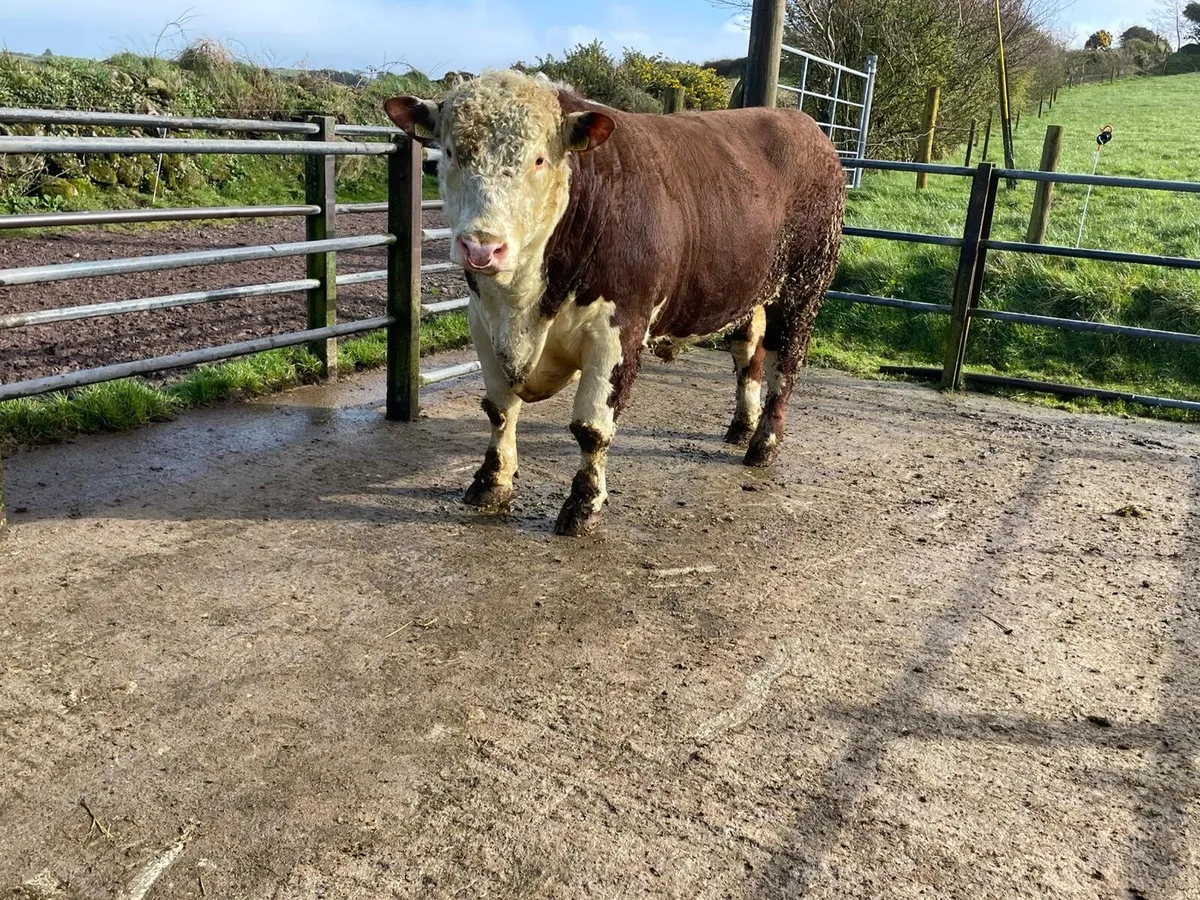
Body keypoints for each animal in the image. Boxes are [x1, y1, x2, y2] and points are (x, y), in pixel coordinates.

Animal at [384, 69, 845, 537]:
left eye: (539, 159)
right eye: (451, 152)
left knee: (784, 366)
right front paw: (491, 483)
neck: (523, 305)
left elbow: (590, 428)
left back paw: (763, 444)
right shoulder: (482, 321)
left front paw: (583, 505)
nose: (482, 247)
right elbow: (499, 409)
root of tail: (804, 124)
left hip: (804, 287)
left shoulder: (618, 330)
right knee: (749, 354)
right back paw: (741, 426)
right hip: (749, 294)